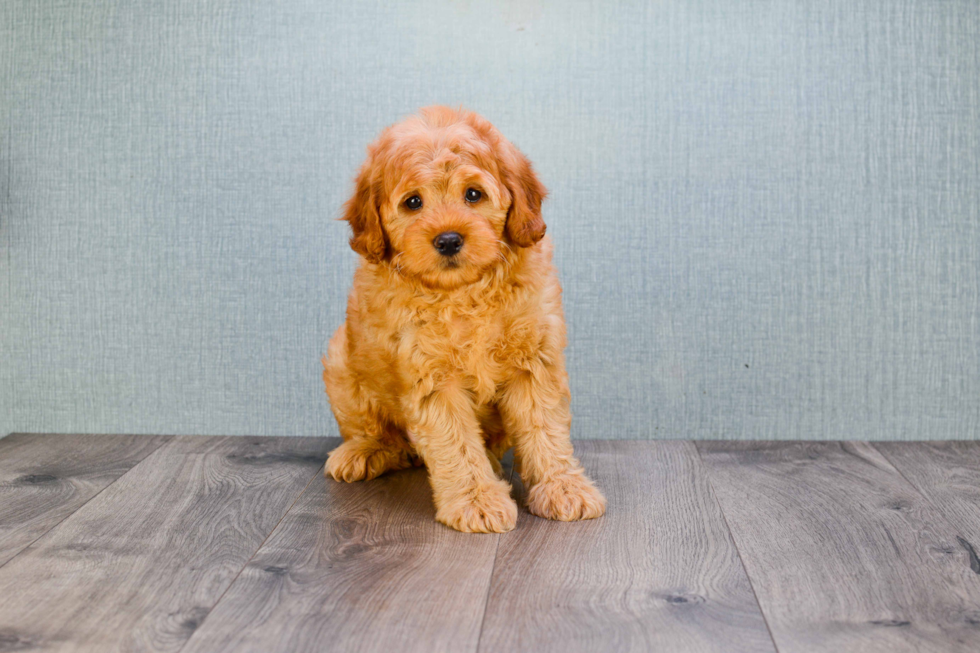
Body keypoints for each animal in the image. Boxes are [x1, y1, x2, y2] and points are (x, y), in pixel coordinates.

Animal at [324, 103, 604, 528]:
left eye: (473, 194)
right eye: (413, 202)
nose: (449, 239)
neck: (465, 292)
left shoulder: (534, 359)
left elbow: (544, 428)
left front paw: (563, 488)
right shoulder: (432, 376)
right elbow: (455, 442)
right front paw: (477, 501)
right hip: (341, 359)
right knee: (380, 434)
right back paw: (362, 451)